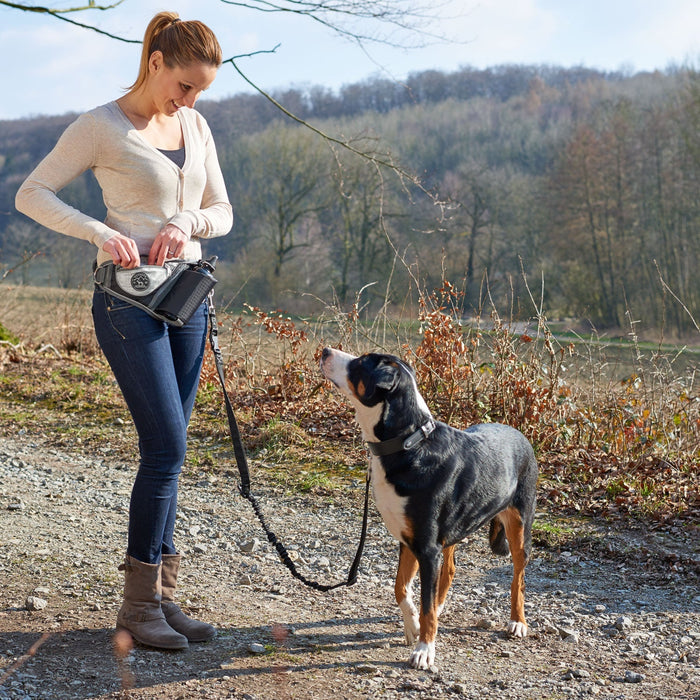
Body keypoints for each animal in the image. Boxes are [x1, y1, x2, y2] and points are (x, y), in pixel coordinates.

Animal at [320, 348, 540, 668]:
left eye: (360, 363)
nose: (324, 351)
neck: (409, 444)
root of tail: (518, 432)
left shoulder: (426, 546)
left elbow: (423, 602)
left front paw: (424, 649)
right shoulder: (410, 541)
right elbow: (401, 588)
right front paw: (413, 623)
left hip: (519, 527)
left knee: (518, 579)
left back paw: (518, 621)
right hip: (451, 531)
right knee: (448, 571)